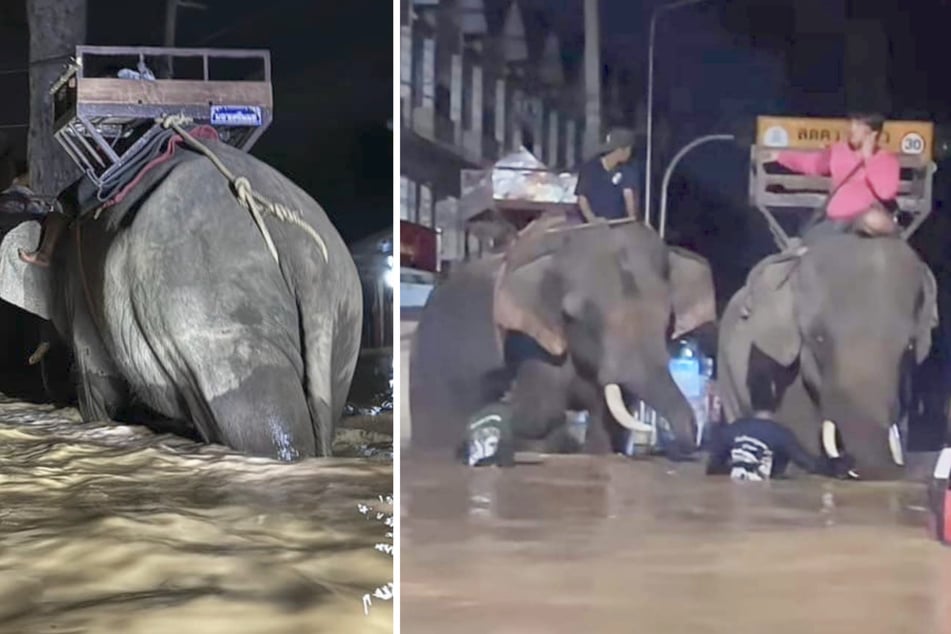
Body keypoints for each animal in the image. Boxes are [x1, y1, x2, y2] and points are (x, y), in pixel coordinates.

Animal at [408, 217, 712, 454]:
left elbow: (607, 423)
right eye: (575, 315)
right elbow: (541, 412)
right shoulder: (529, 339)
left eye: (669, 319)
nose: (689, 441)